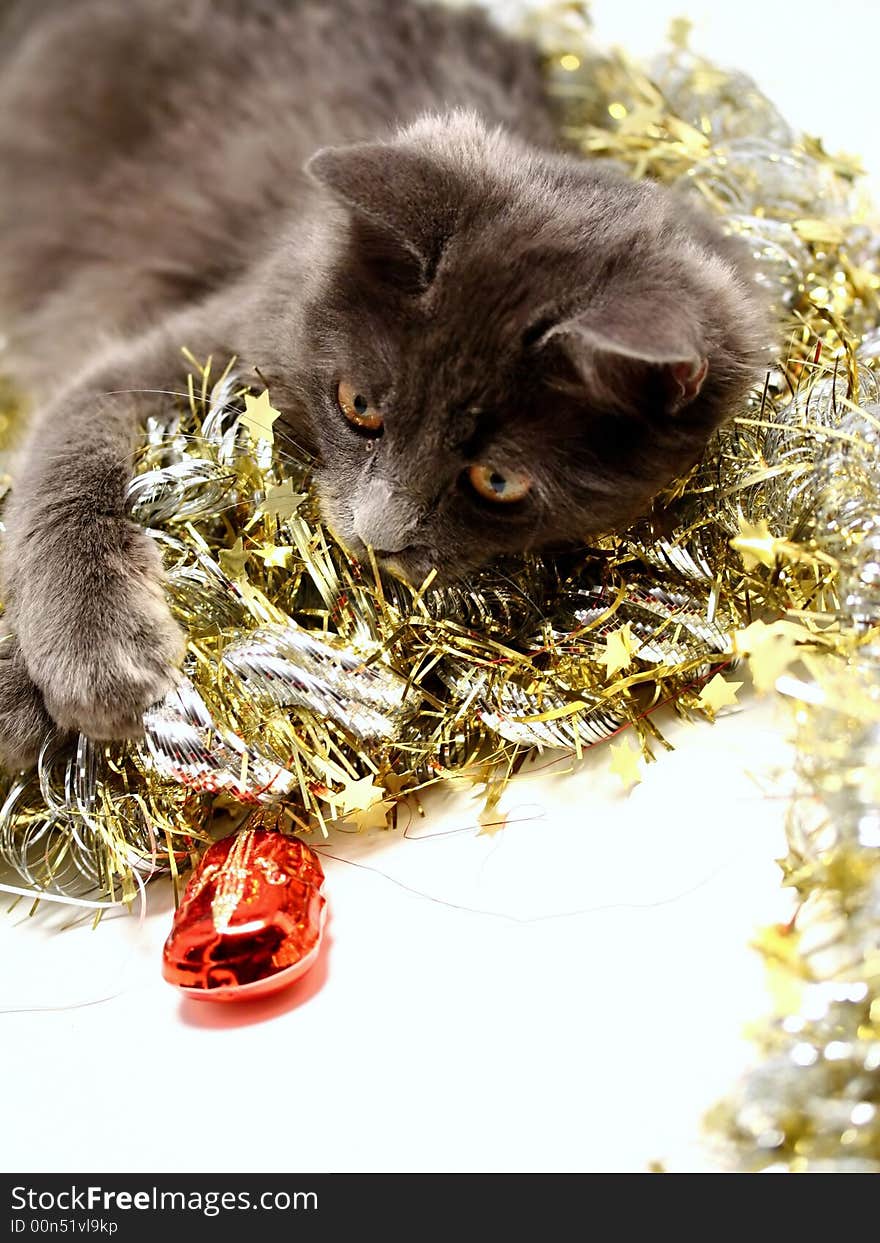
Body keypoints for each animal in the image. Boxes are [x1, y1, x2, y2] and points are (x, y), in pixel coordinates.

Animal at [0, 0, 770, 770]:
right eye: (359, 406)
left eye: (498, 482)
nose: (374, 534)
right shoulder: (192, 342)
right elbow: (66, 458)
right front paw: (80, 657)